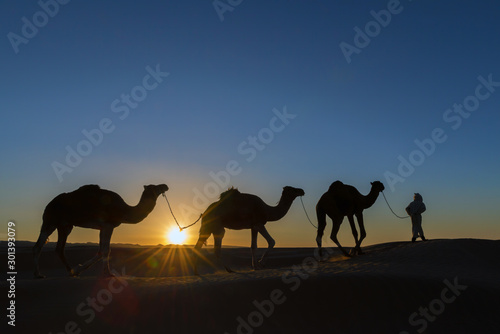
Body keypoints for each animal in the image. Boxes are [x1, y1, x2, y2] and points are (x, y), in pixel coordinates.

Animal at [33, 184, 170, 278]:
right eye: (156, 187)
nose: (165, 186)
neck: (124, 210)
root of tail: (50, 203)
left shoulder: (102, 227)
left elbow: (101, 250)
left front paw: (80, 269)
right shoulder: (108, 225)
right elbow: (105, 250)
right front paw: (108, 274)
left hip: (65, 225)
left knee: (59, 248)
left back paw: (71, 271)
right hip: (50, 220)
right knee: (38, 245)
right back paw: (38, 274)